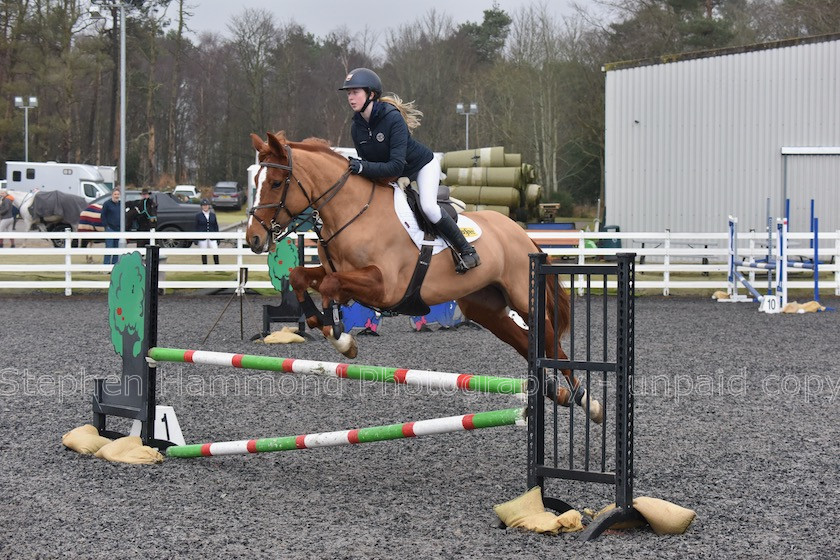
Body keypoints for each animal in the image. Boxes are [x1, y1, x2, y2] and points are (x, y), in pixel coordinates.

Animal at [246, 130, 600, 420]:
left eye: (275, 183)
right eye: (255, 184)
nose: (254, 239)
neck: (351, 212)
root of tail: (520, 233)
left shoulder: (385, 287)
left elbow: (332, 286)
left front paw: (342, 338)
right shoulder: (340, 272)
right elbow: (299, 276)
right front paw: (330, 331)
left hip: (523, 300)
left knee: (551, 342)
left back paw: (587, 401)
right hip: (486, 308)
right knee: (526, 342)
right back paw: (556, 393)